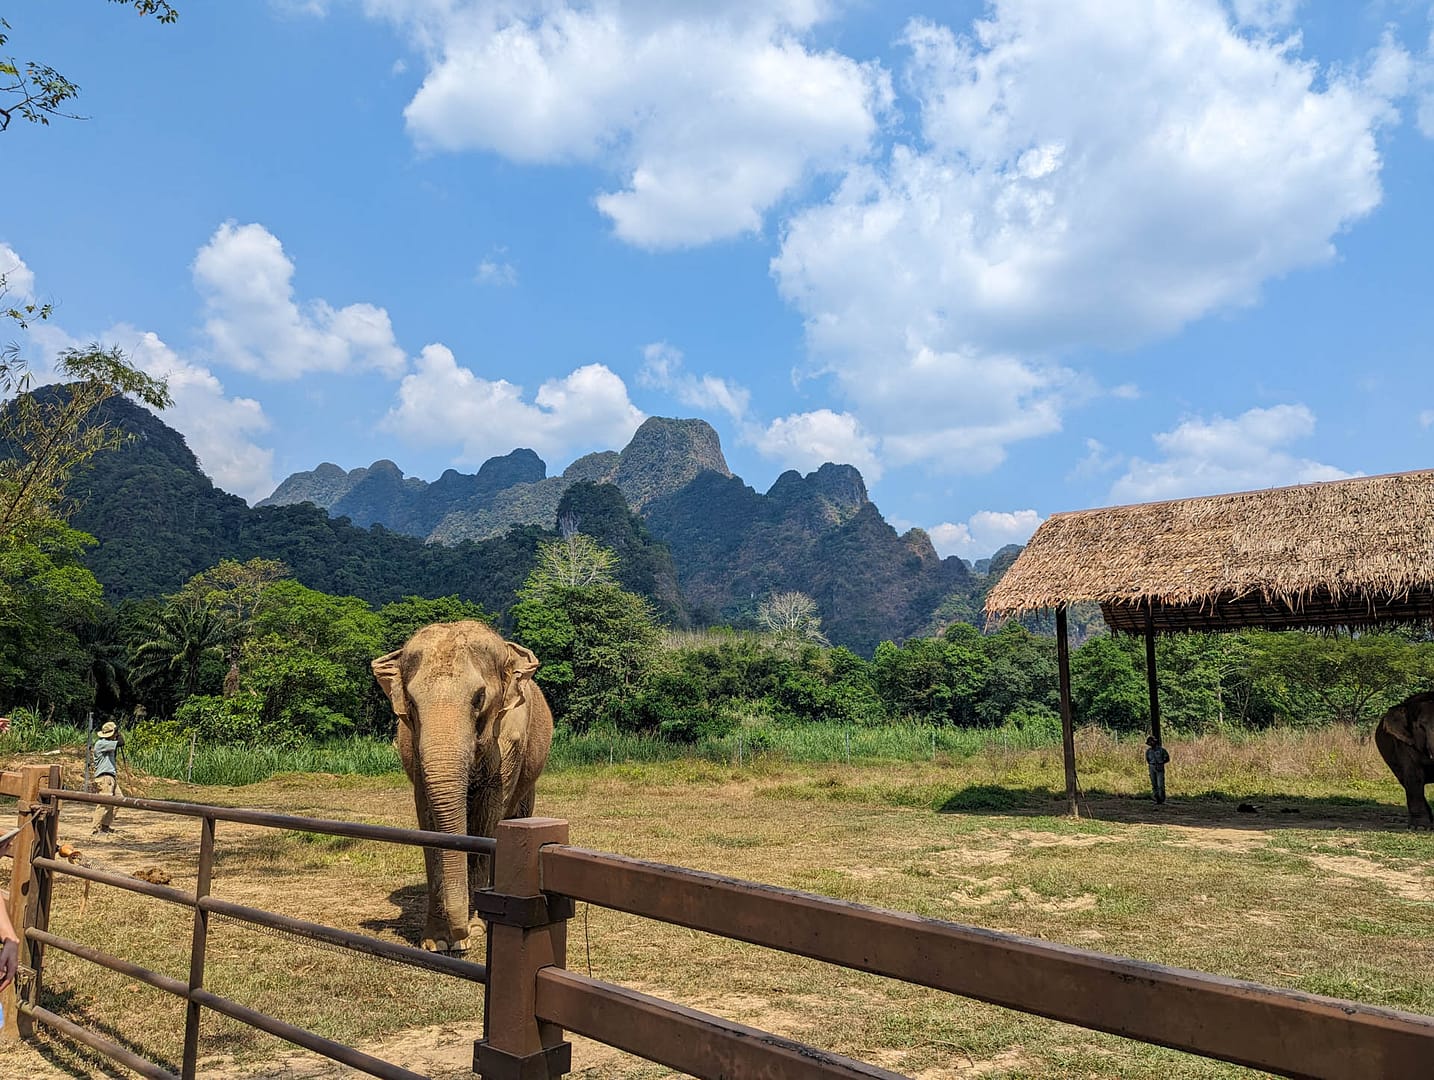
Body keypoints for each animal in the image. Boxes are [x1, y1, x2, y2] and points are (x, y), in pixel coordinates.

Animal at [372, 620, 554, 952]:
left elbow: (486, 818)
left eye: (479, 698)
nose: (461, 938)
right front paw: (436, 942)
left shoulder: (509, 738)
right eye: (411, 703)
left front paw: (477, 930)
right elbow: (429, 821)